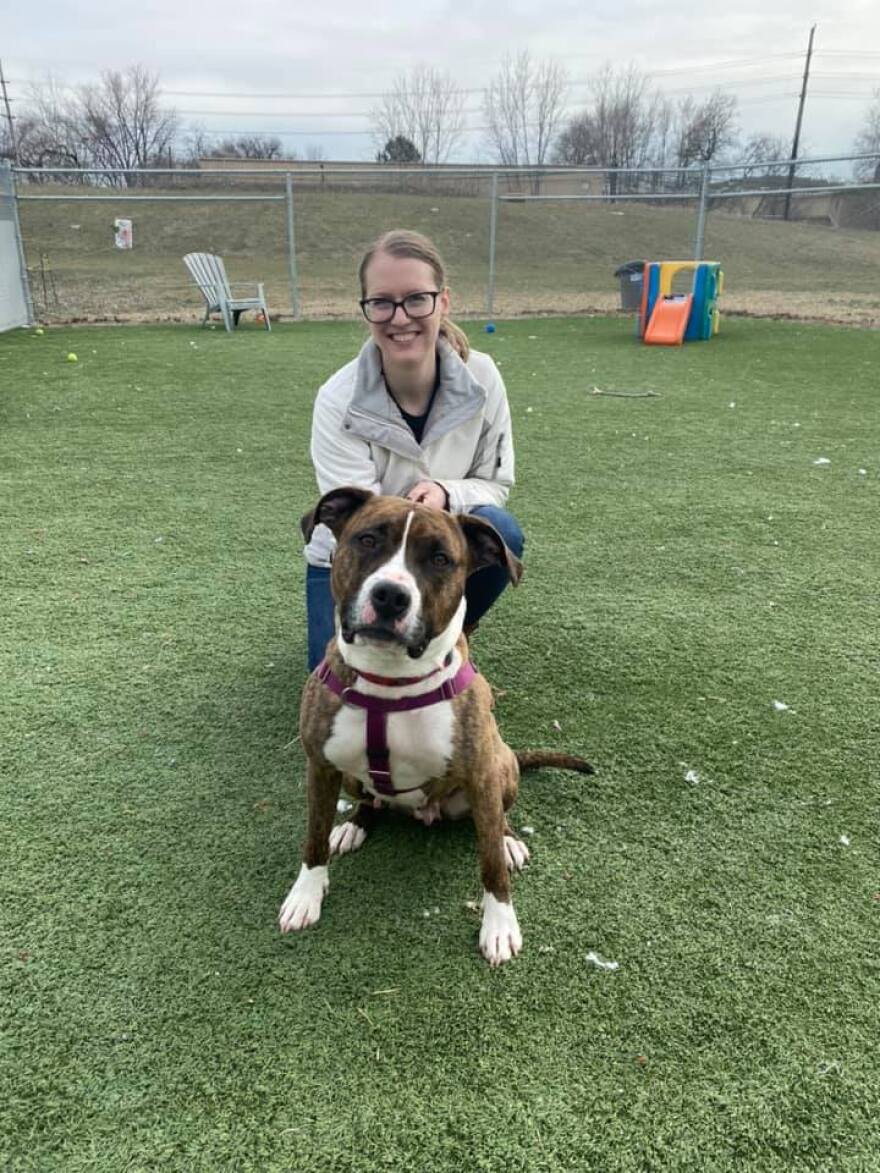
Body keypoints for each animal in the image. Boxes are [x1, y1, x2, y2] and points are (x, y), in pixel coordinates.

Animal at [279, 485, 593, 961]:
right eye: (367, 540)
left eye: (441, 559)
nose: (391, 595)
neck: (390, 680)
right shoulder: (321, 766)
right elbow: (313, 839)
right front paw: (305, 895)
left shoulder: (481, 773)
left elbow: (490, 864)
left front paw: (499, 924)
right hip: (352, 779)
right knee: (371, 801)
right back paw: (354, 826)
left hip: (500, 768)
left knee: (496, 822)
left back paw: (508, 840)